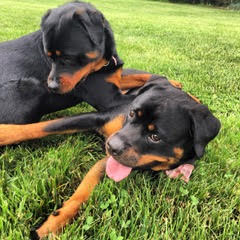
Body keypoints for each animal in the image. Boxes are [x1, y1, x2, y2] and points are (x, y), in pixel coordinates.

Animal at [0, 69, 220, 238]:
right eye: (131, 113)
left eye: (155, 136)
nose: (111, 146)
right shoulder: (98, 117)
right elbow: (42, 127)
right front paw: (4, 132)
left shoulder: (117, 158)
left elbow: (87, 188)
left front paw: (56, 221)